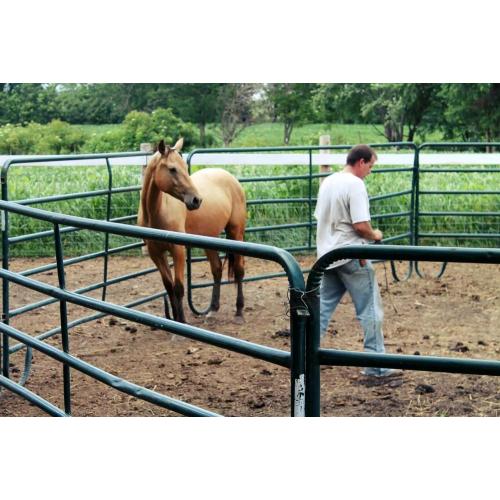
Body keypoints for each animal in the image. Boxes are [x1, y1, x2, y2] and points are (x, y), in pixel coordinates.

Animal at [138, 137, 247, 324]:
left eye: (184, 166)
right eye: (172, 169)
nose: (196, 200)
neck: (156, 212)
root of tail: (230, 177)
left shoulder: (178, 250)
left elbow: (179, 288)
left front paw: (181, 322)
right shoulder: (155, 253)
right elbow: (169, 287)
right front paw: (174, 320)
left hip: (236, 233)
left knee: (239, 270)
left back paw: (239, 311)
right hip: (209, 239)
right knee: (217, 269)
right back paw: (213, 310)